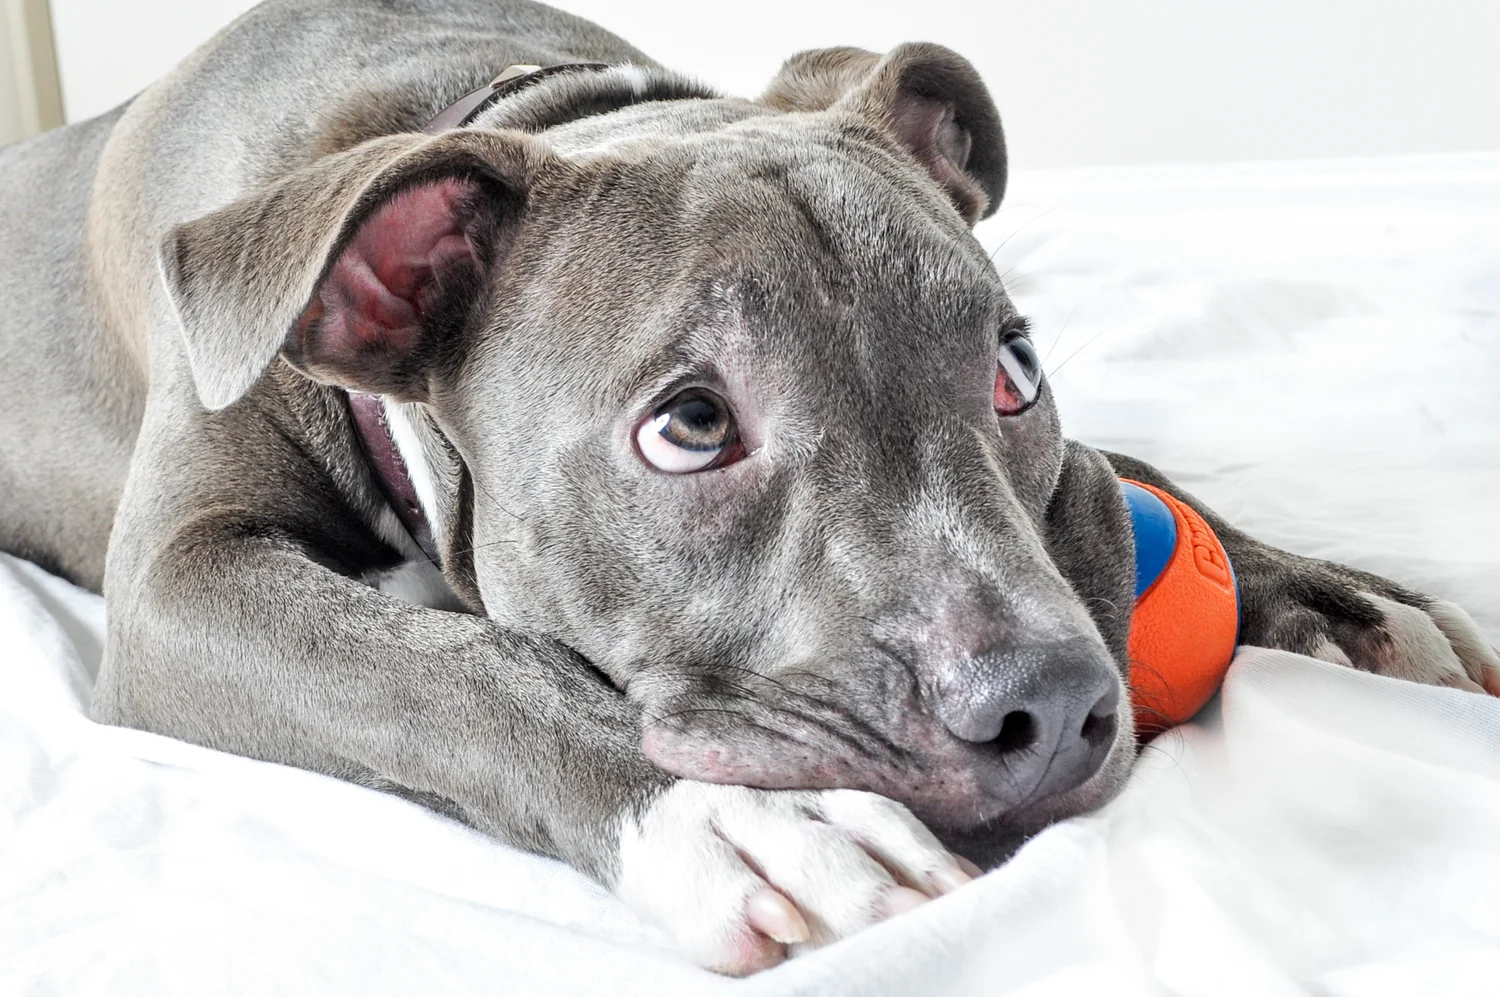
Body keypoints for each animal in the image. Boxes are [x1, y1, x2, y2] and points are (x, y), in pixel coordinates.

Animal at [1, 0, 1495, 975]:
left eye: (1014, 369)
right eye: (690, 425)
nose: (1054, 707)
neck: (535, 104)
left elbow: (1128, 466)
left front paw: (1335, 593)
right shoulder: (181, 583)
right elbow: (436, 665)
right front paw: (756, 819)